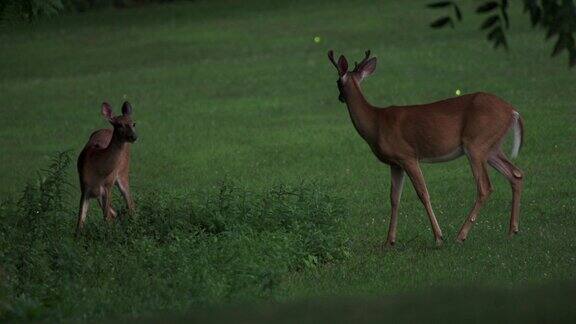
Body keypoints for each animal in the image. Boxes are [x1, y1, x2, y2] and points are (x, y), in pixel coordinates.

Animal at [75, 101, 138, 235]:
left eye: (133, 123)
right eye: (119, 125)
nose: (134, 136)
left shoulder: (107, 186)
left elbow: (106, 218)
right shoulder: (84, 187)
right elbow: (80, 222)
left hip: (123, 173)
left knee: (130, 205)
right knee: (114, 212)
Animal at [328, 50, 520, 246]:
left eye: (336, 81)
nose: (340, 97)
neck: (376, 123)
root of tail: (513, 111)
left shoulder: (407, 156)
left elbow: (423, 194)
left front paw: (438, 237)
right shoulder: (395, 163)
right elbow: (394, 198)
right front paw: (389, 241)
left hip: (476, 144)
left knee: (485, 187)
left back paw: (461, 235)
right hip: (491, 147)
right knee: (515, 174)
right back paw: (512, 231)